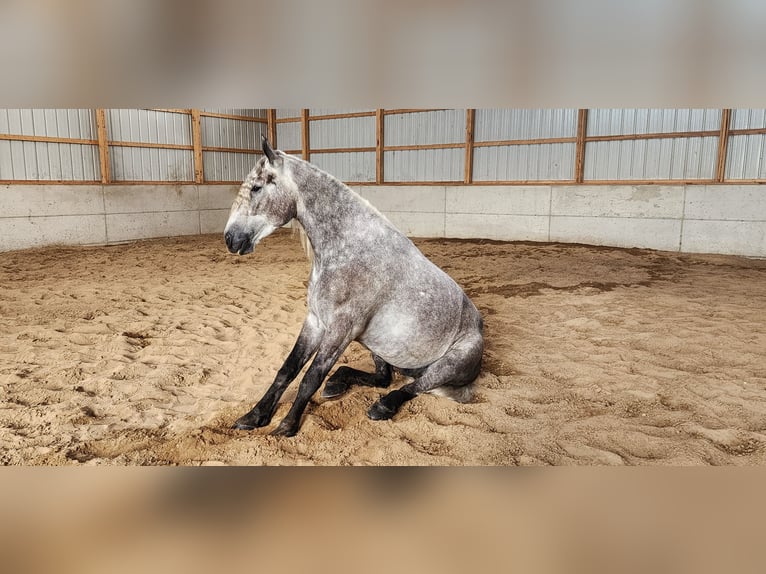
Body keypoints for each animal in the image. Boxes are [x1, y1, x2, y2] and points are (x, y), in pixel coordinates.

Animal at [224, 138, 486, 436]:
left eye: (256, 187)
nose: (230, 239)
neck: (349, 248)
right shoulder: (315, 322)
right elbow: (287, 370)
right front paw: (254, 416)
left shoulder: (342, 328)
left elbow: (311, 377)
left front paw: (287, 425)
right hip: (378, 346)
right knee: (384, 377)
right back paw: (339, 383)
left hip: (448, 364)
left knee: (413, 387)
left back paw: (382, 406)